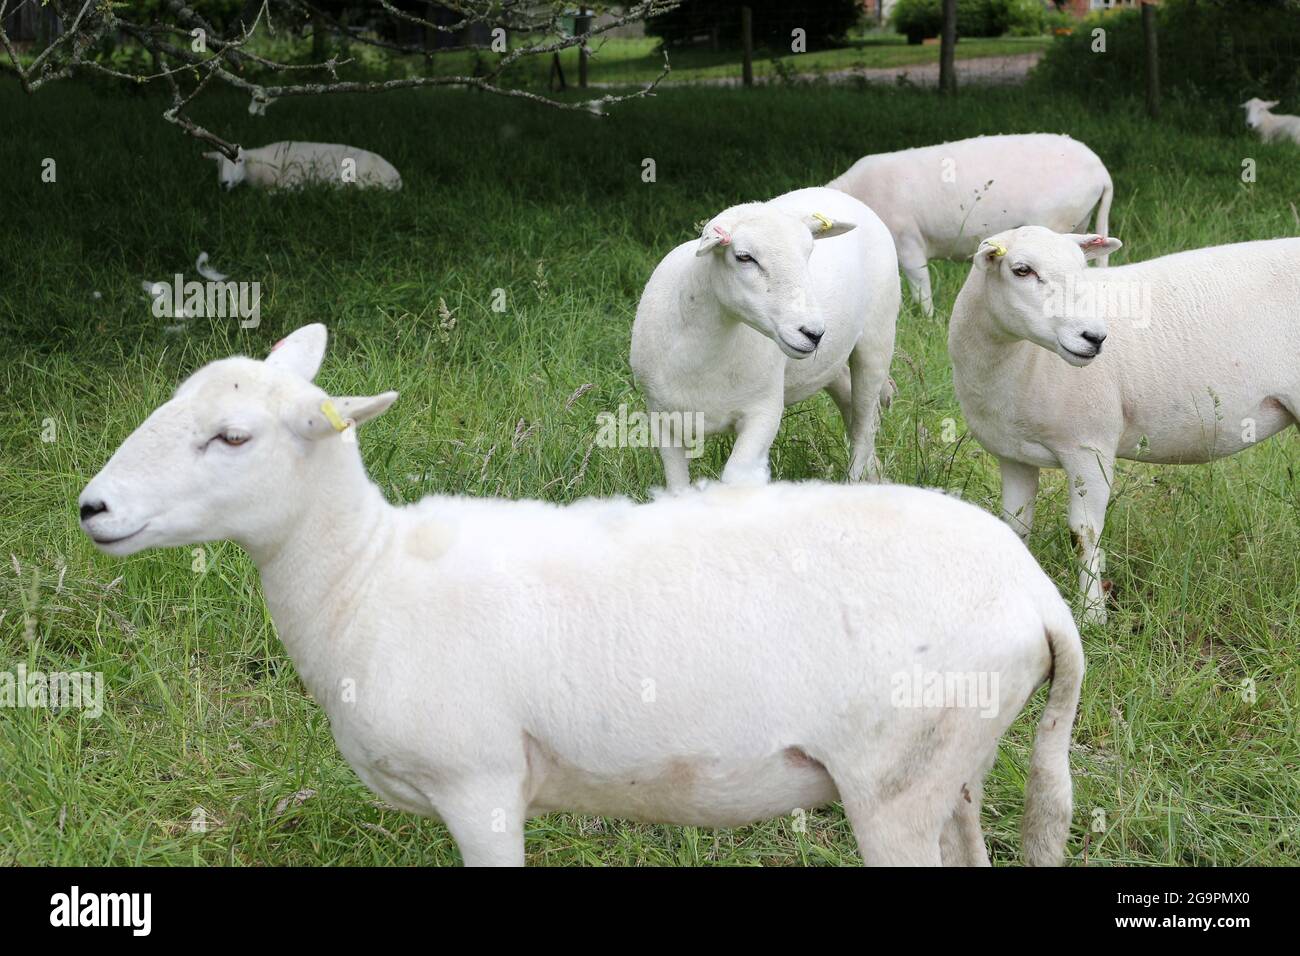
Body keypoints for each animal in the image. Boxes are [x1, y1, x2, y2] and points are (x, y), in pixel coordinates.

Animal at [79, 323, 1084, 867]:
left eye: (232, 437)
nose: (93, 508)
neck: (364, 582)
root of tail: (1038, 596)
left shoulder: (479, 784)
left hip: (895, 778)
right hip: (951, 763)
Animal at [630, 186, 900, 490]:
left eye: (809, 253)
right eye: (744, 256)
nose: (814, 333)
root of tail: (838, 192)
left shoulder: (764, 411)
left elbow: (736, 475)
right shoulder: (661, 418)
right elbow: (677, 487)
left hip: (877, 337)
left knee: (865, 423)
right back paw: (875, 475)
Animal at [949, 225, 1300, 624]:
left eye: (1081, 267)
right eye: (1021, 270)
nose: (1094, 337)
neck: (1020, 363)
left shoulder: (1089, 446)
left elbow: (1084, 534)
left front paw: (1092, 615)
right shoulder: (1013, 456)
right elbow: (1015, 526)